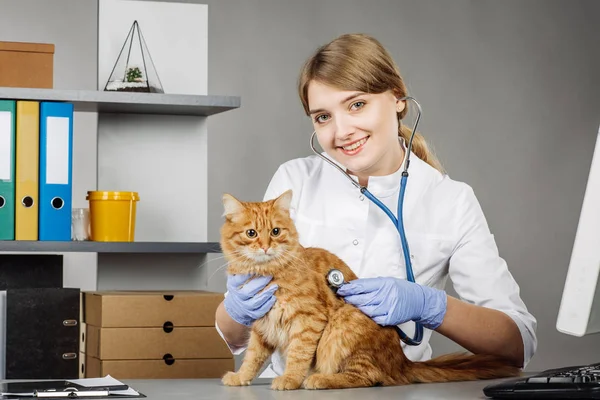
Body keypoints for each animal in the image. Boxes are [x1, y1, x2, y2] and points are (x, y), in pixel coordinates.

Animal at [219, 191, 520, 390]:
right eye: (251, 234)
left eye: (276, 231)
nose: (265, 247)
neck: (267, 274)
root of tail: (402, 362)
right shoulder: (261, 326)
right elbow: (252, 358)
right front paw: (240, 378)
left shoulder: (308, 321)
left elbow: (297, 356)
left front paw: (290, 380)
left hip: (344, 325)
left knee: (368, 378)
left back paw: (319, 379)